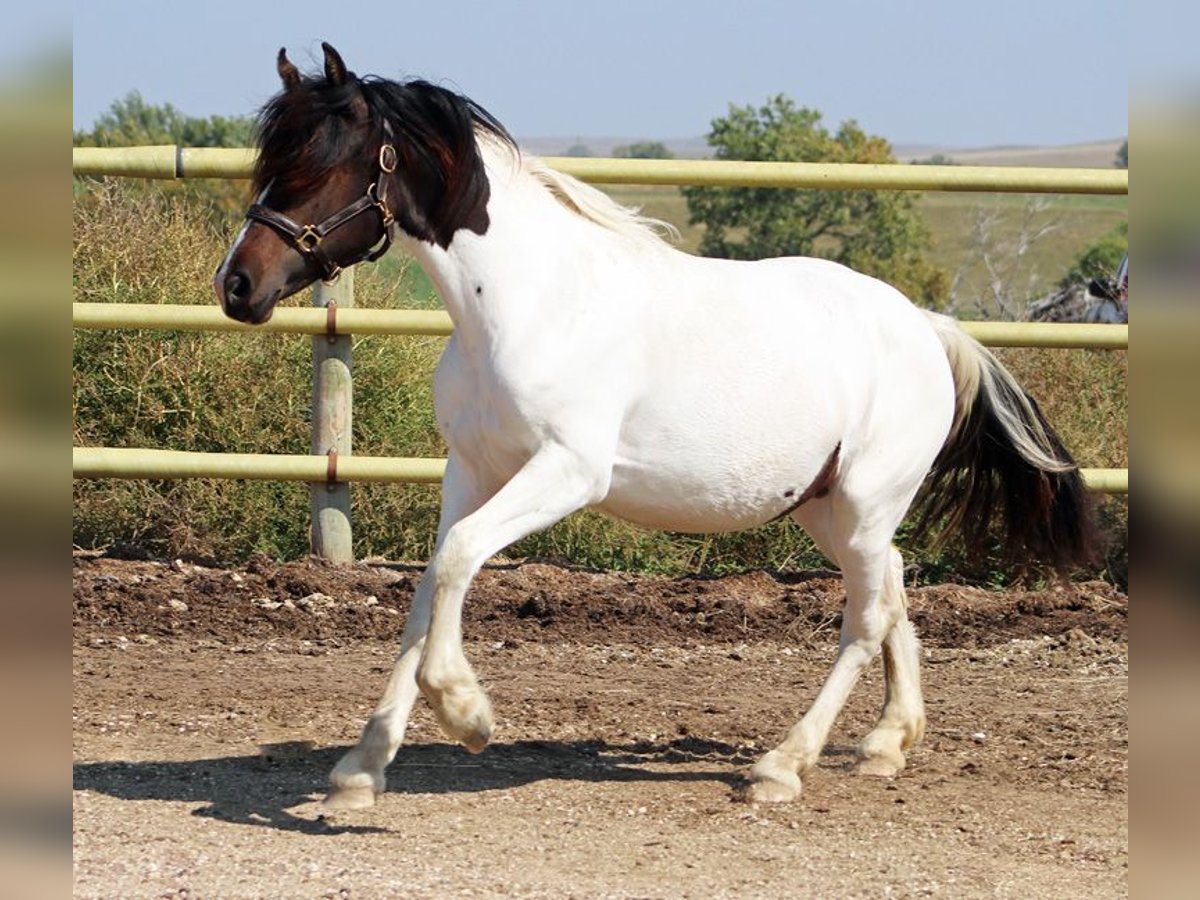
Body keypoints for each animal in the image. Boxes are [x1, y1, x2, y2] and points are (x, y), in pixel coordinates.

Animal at [214, 44, 1095, 810]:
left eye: (326, 161)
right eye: (272, 157)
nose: (237, 285)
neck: (526, 302)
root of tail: (928, 327)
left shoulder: (567, 471)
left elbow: (460, 560)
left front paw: (466, 713)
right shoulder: (472, 468)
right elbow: (432, 585)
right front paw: (362, 768)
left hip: (867, 500)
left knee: (867, 615)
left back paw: (781, 765)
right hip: (827, 507)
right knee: (897, 584)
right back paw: (886, 743)